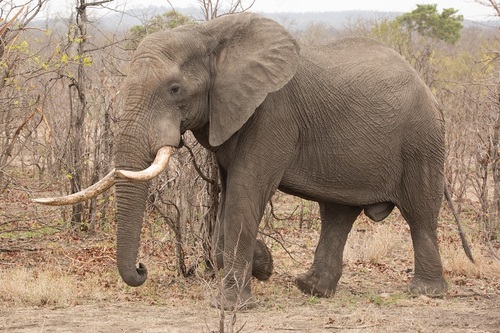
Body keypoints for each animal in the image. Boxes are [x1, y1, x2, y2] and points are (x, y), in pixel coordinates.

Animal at [35, 12, 468, 308]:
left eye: (175, 89)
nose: (141, 269)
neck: (210, 35)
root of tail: (428, 90)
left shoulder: (272, 113)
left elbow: (246, 191)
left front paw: (230, 304)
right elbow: (230, 195)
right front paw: (263, 267)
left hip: (422, 140)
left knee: (419, 214)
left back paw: (426, 292)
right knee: (337, 213)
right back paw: (311, 288)